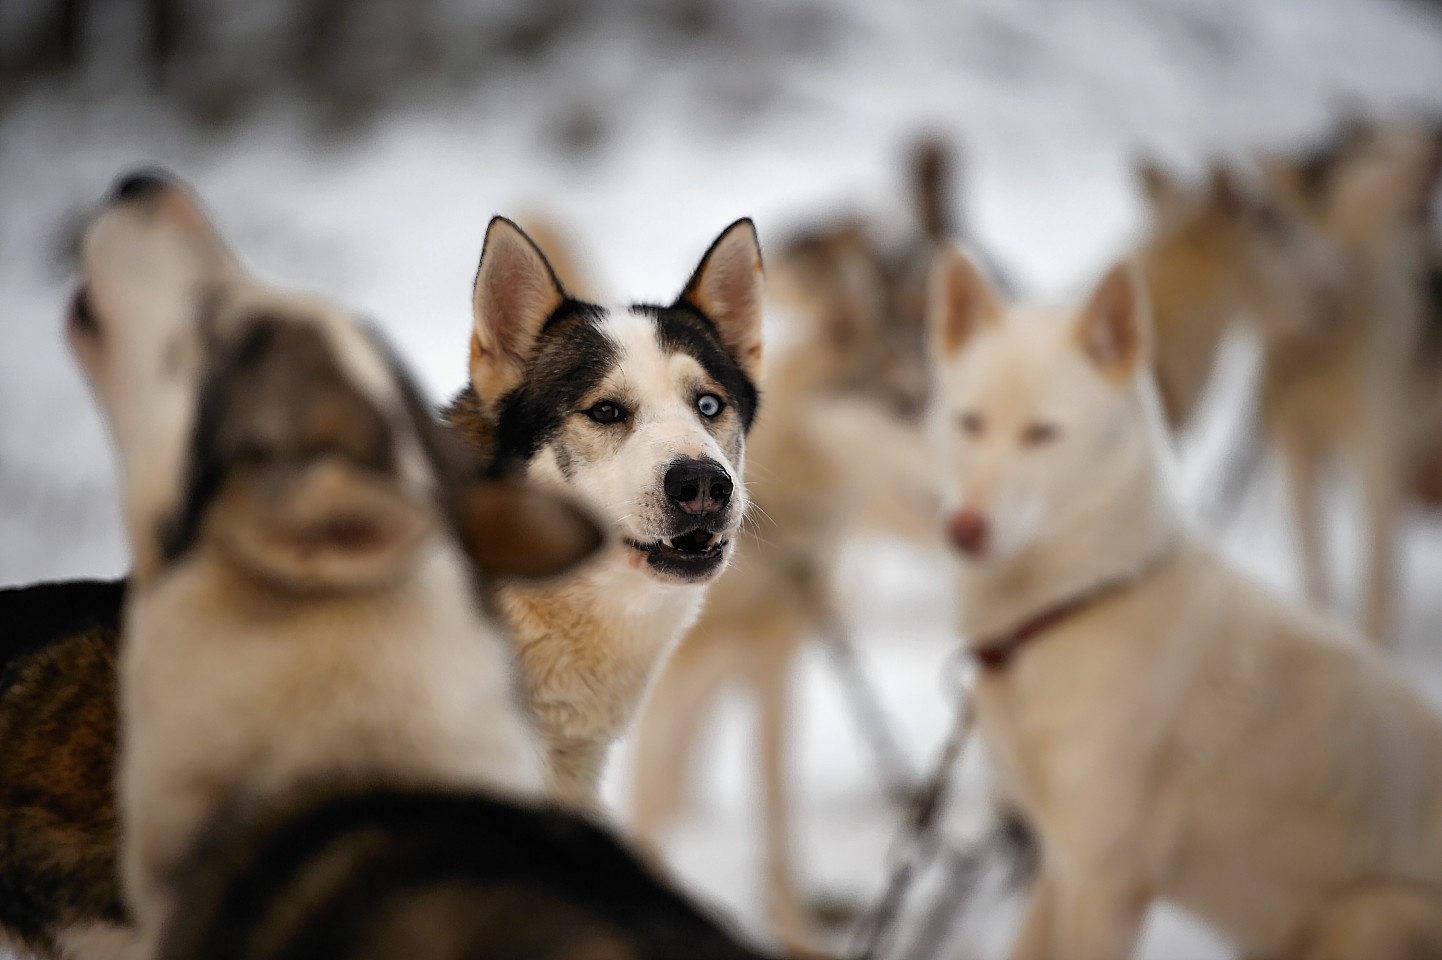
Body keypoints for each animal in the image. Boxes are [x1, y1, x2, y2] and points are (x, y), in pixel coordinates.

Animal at [922, 246, 1442, 957]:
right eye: (969, 423)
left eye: (1041, 434)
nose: (964, 529)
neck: (1079, 603)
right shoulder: (1061, 865)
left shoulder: (1107, 880)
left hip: (1368, 917)